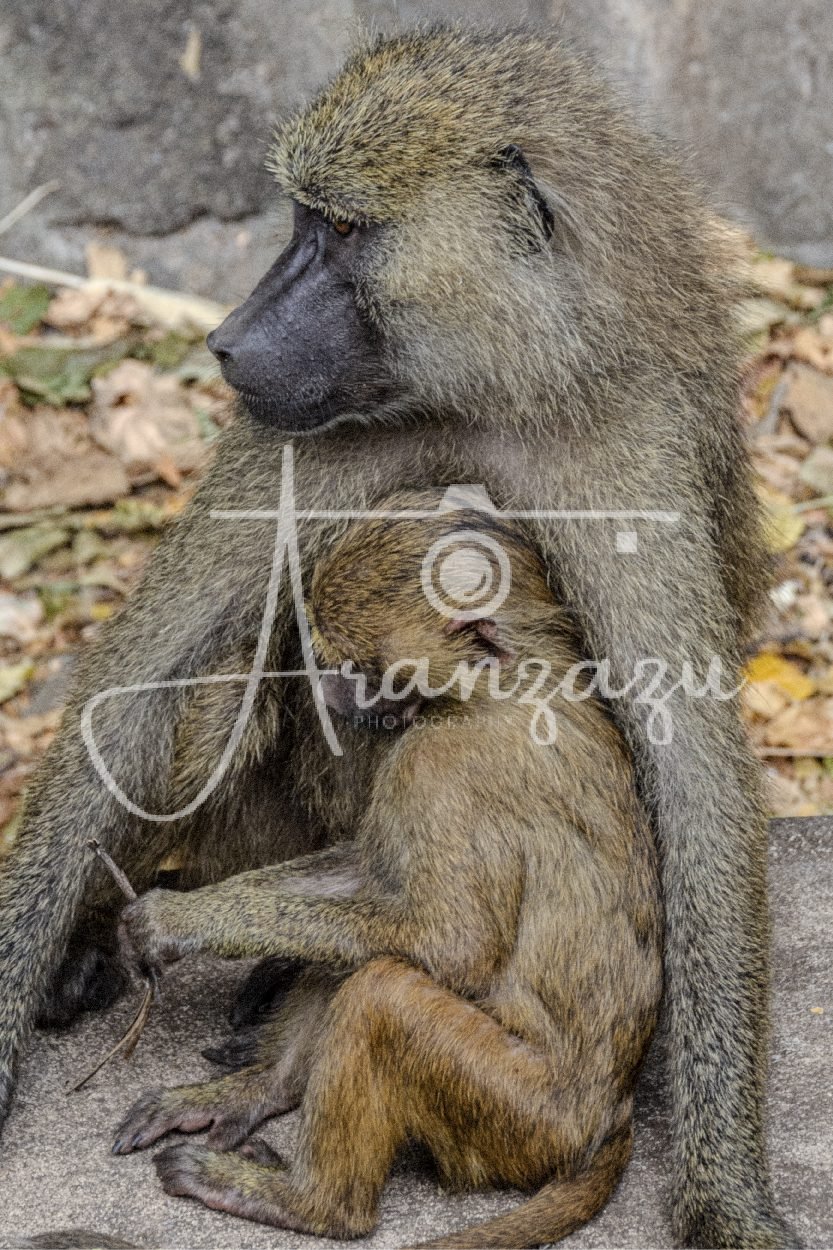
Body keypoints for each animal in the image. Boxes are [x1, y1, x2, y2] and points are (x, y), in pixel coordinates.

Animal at [111, 495, 663, 1248]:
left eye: (357, 665)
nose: (329, 696)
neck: (512, 673)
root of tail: (610, 1116)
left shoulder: (438, 763)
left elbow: (450, 942)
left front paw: (174, 920)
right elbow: (367, 877)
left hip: (521, 1117)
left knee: (384, 991)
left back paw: (312, 1203)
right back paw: (265, 1090)